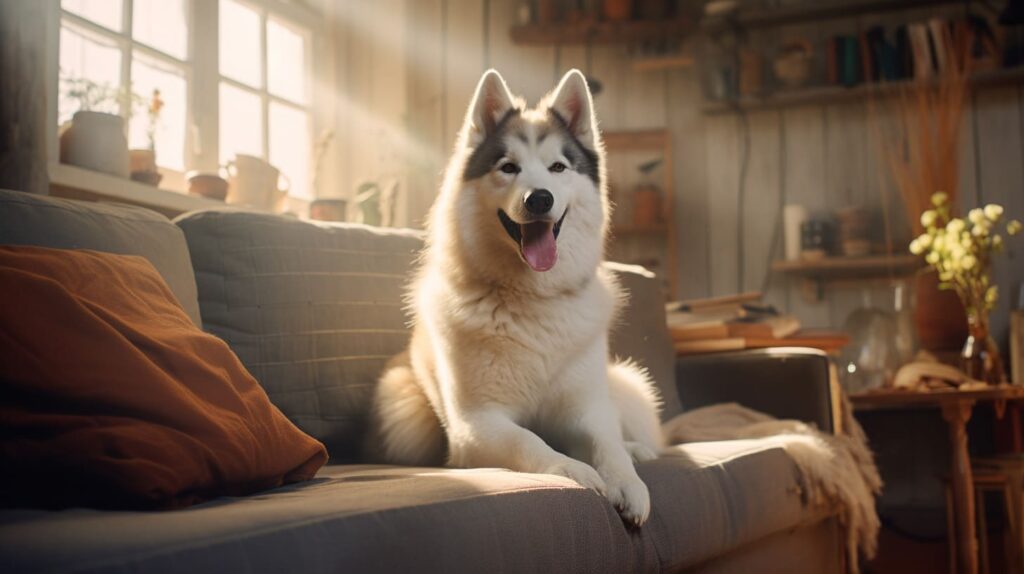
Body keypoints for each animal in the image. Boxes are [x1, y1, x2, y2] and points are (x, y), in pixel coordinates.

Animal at [372, 68, 667, 523]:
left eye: (558, 167)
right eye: (508, 168)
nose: (539, 198)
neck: (532, 299)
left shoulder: (587, 408)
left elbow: (607, 442)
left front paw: (626, 478)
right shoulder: (476, 424)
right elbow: (528, 440)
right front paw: (574, 469)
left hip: (629, 385)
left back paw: (638, 450)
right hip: (399, 398)